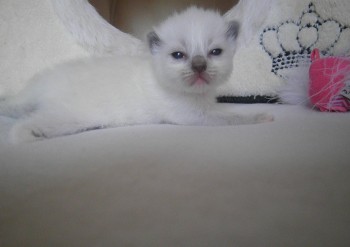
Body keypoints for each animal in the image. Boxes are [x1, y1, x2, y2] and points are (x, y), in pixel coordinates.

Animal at [0, 6, 274, 143]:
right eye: (178, 55)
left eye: (215, 52)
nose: (199, 66)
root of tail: (42, 86)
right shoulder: (193, 116)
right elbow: (231, 117)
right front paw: (261, 117)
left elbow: (227, 112)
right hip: (68, 117)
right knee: (23, 125)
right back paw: (27, 136)